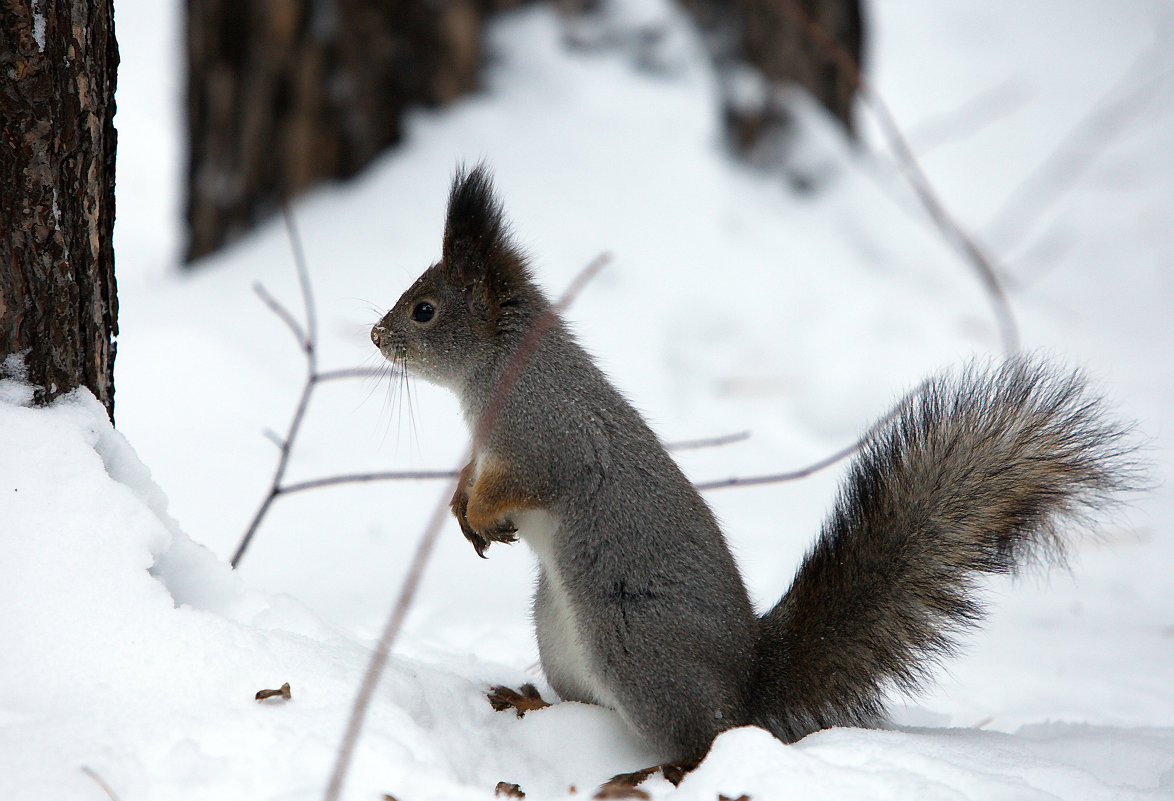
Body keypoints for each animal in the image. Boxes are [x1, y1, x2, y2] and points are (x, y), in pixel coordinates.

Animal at [370, 163, 1141, 761]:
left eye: (425, 310)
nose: (377, 334)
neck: (499, 367)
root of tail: (746, 686)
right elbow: (474, 479)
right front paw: (464, 510)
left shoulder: (547, 436)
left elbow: (532, 478)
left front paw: (479, 511)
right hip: (559, 635)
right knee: (593, 709)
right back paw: (533, 704)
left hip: (636, 649)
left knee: (699, 742)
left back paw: (639, 773)